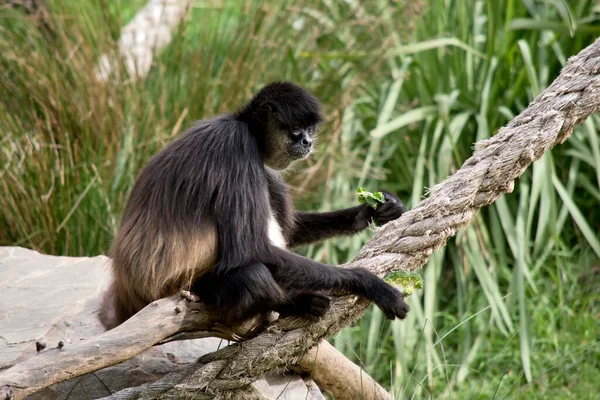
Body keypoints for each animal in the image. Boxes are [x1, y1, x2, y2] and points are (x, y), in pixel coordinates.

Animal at [99, 81, 408, 328]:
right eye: (296, 129)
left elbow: (291, 230)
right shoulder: (236, 147)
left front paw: (373, 210)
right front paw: (367, 282)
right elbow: (251, 248)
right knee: (253, 274)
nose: (308, 141)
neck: (245, 127)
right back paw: (293, 303)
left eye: (310, 129)